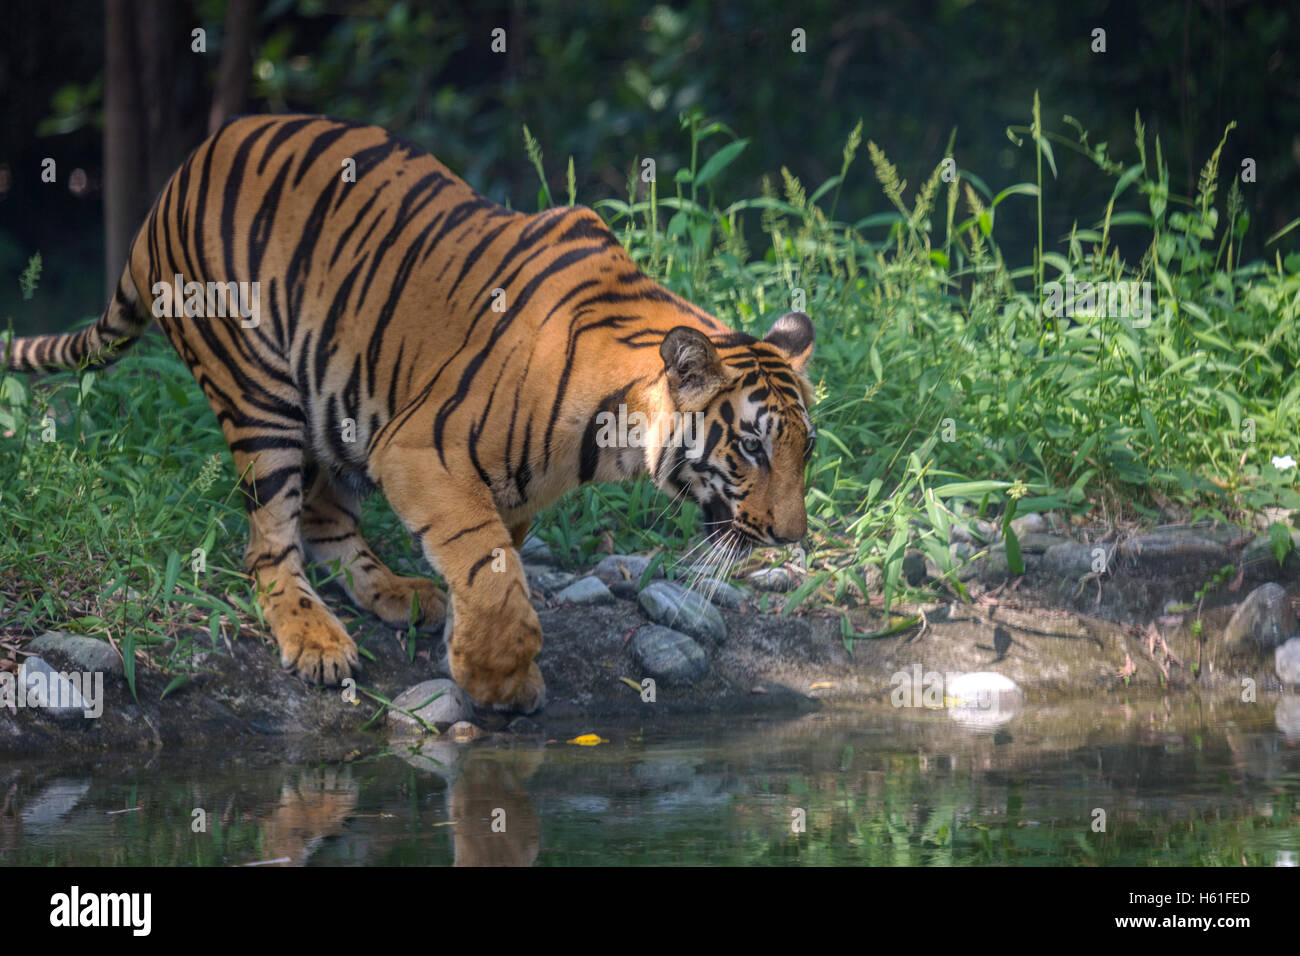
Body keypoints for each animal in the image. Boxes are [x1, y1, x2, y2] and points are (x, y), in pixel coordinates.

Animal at [7, 115, 811, 712]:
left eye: (804, 452)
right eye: (752, 448)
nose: (793, 538)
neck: (609, 437)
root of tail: (169, 188)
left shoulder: (501, 485)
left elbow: (490, 558)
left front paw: (466, 646)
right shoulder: (422, 448)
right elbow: (487, 562)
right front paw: (500, 679)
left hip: (338, 404)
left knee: (325, 518)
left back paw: (397, 592)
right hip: (259, 393)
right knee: (268, 543)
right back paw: (316, 640)